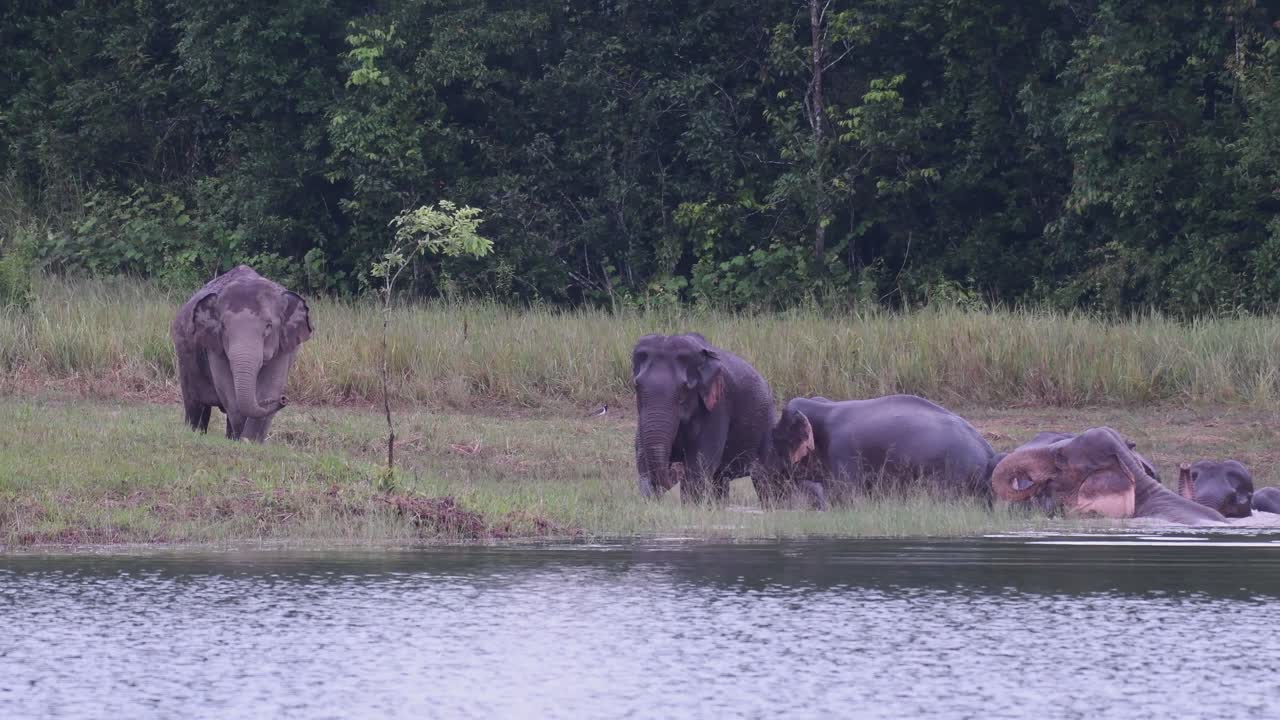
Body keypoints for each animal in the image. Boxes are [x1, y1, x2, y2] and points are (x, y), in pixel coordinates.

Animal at [170, 265, 313, 442]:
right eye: (223, 326)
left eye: (269, 326)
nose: (283, 399)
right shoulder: (214, 343)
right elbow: (228, 389)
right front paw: (243, 439)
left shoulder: (284, 346)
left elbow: (271, 386)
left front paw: (250, 441)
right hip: (184, 357)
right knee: (195, 405)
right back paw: (194, 432)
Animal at [631, 333, 774, 503]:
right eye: (637, 386)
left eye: (684, 389)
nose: (677, 467)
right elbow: (642, 459)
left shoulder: (719, 404)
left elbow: (699, 464)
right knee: (720, 480)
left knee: (762, 478)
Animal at [758, 394, 1003, 509]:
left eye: (775, 439)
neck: (824, 408)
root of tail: (988, 453)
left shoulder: (843, 453)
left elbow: (846, 496)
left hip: (954, 475)